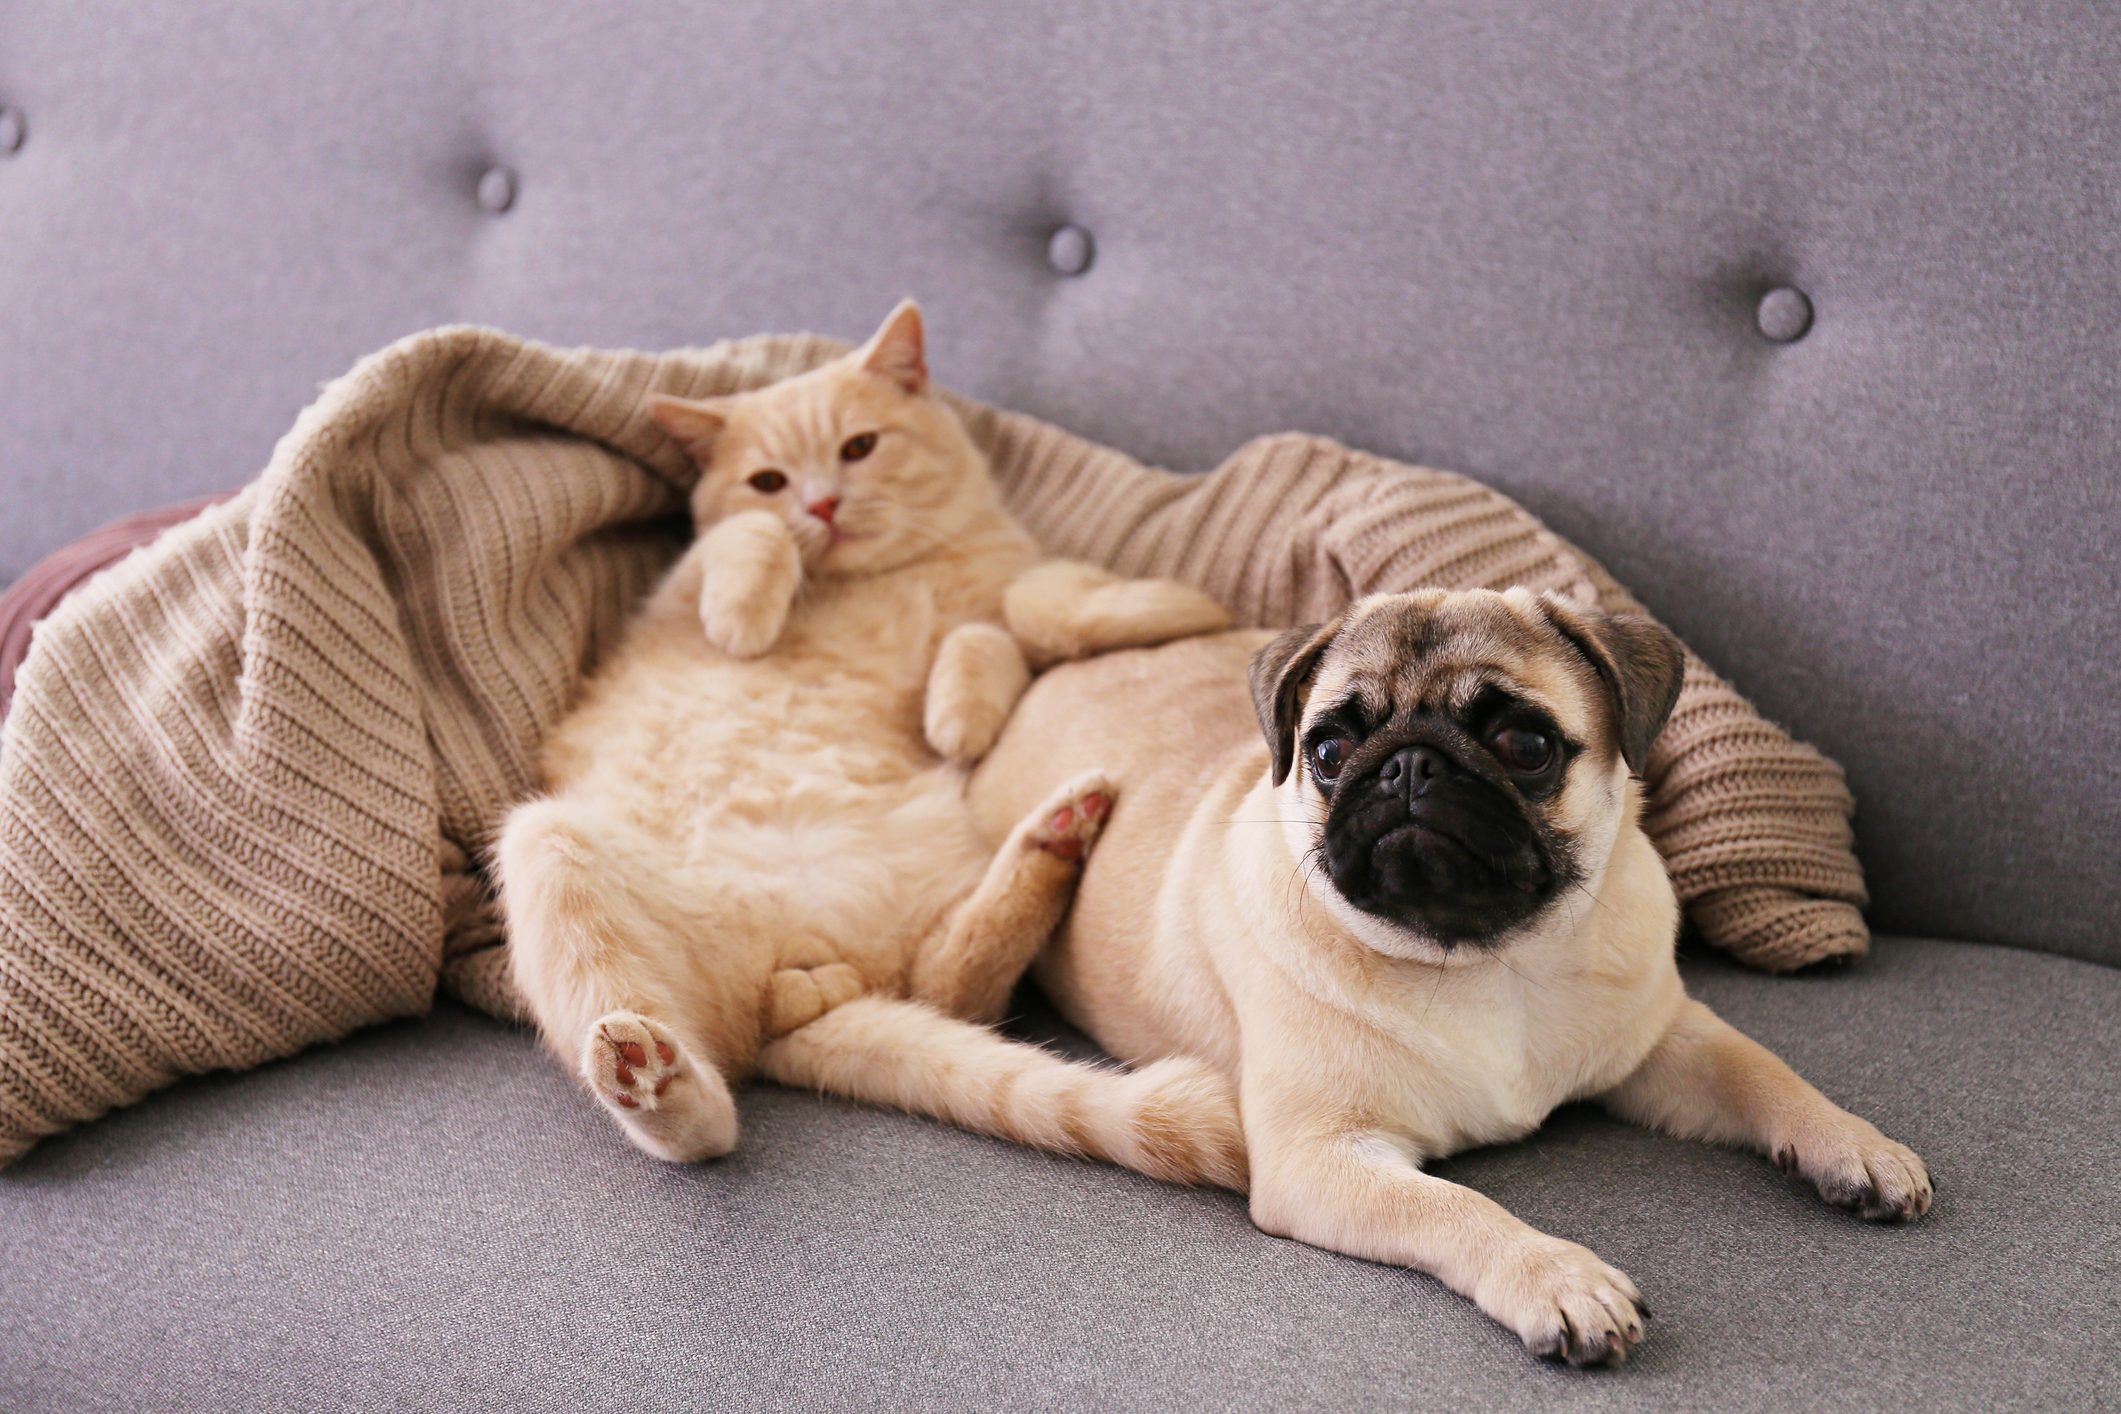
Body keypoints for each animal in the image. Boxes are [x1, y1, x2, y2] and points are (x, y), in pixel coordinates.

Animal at [494, 305, 1238, 1187]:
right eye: (770, 480)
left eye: (858, 447)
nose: (820, 505)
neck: (886, 580)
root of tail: (795, 966)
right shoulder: (676, 592)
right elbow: (747, 539)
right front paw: (748, 613)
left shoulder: (1012, 606)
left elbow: (1028, 610)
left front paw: (976, 700)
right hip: (543, 842)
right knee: (709, 1113)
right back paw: (649, 1075)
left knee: (948, 988)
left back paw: (1056, 838)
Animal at [971, 589, 1934, 1373]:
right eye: (1328, 749)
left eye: (1524, 743)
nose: (1406, 763)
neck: (1486, 959)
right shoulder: (1321, 1158)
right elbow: (1456, 1209)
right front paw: (1555, 1277)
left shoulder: (1664, 1043)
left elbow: (1766, 1073)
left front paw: (1852, 1145)